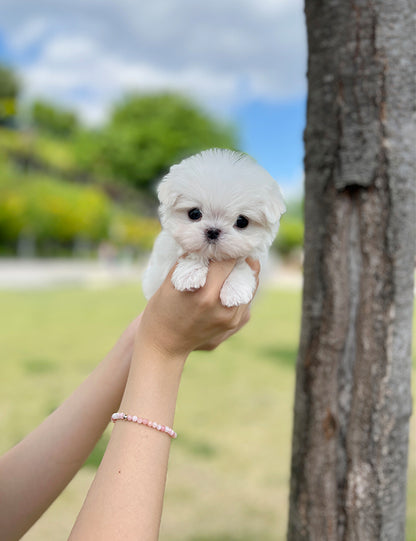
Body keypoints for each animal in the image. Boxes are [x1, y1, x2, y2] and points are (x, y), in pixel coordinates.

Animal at [143, 148, 286, 306]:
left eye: (242, 221)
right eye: (194, 213)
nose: (213, 231)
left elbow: (242, 264)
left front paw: (235, 291)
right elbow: (193, 251)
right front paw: (190, 275)